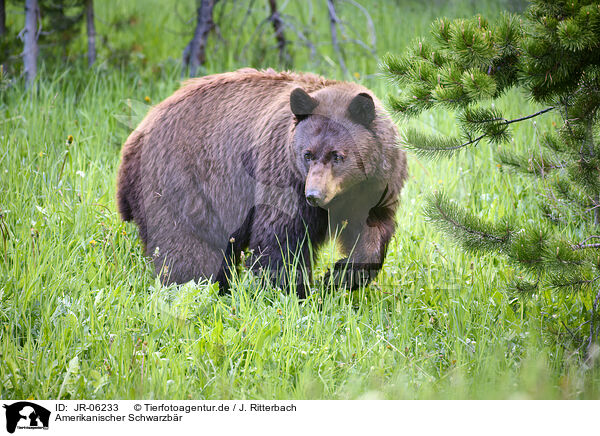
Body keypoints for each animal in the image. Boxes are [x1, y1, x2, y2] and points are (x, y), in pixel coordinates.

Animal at [117, 68, 408, 298]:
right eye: (307, 154)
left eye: (337, 155)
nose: (314, 194)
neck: (348, 192)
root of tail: (135, 136)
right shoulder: (282, 175)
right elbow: (281, 236)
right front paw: (289, 290)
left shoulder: (376, 190)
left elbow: (371, 235)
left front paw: (338, 276)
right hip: (181, 182)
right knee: (187, 247)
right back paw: (192, 287)